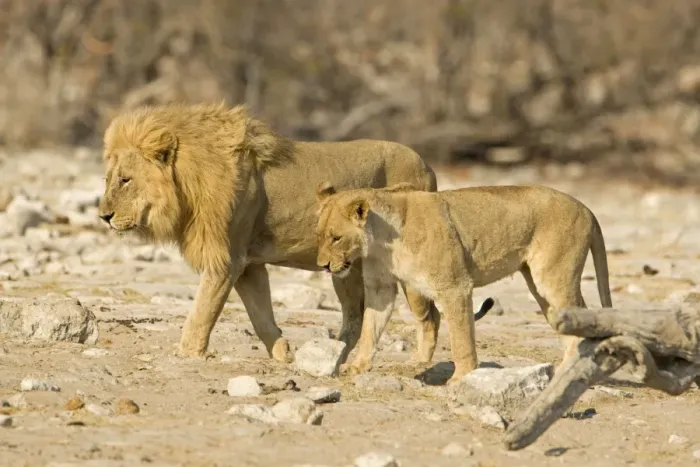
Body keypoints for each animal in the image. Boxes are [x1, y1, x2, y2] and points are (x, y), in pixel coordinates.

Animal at [97, 102, 467, 365]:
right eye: (109, 178)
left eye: (126, 179)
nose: (103, 216)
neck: (190, 182)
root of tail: (428, 166)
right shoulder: (248, 264)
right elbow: (260, 316)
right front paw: (284, 353)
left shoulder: (226, 260)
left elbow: (201, 313)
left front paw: (187, 355)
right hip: (344, 269)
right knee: (355, 317)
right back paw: (333, 358)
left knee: (430, 316)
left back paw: (416, 362)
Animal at [315, 182, 612, 383]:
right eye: (319, 235)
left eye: (336, 238)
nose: (323, 266)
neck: (382, 242)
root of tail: (587, 208)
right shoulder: (380, 288)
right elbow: (370, 329)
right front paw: (356, 366)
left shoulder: (455, 287)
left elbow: (461, 338)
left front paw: (461, 378)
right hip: (541, 289)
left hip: (553, 279)